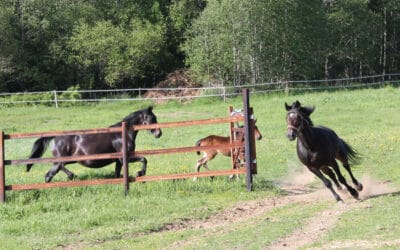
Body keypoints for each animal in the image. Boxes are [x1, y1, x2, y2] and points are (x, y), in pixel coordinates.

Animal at [26, 105, 162, 182]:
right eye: (151, 118)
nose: (159, 133)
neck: (122, 135)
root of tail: (56, 137)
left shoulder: (118, 161)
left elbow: (117, 174)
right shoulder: (125, 158)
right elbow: (144, 159)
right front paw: (140, 173)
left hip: (67, 160)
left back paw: (72, 175)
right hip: (61, 161)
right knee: (48, 176)